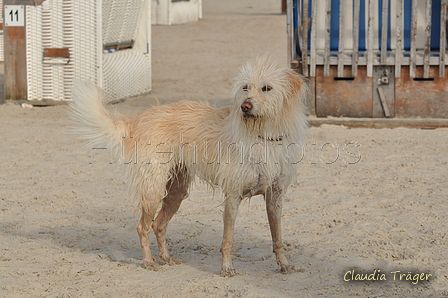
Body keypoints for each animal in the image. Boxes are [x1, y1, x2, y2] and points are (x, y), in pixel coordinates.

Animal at [69, 56, 308, 278]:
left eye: (267, 88)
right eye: (245, 87)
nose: (245, 106)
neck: (264, 135)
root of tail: (137, 121)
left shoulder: (275, 197)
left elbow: (277, 238)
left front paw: (285, 265)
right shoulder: (233, 196)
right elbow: (228, 239)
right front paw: (226, 268)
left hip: (176, 191)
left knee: (158, 225)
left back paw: (166, 257)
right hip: (153, 190)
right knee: (142, 227)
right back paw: (148, 261)